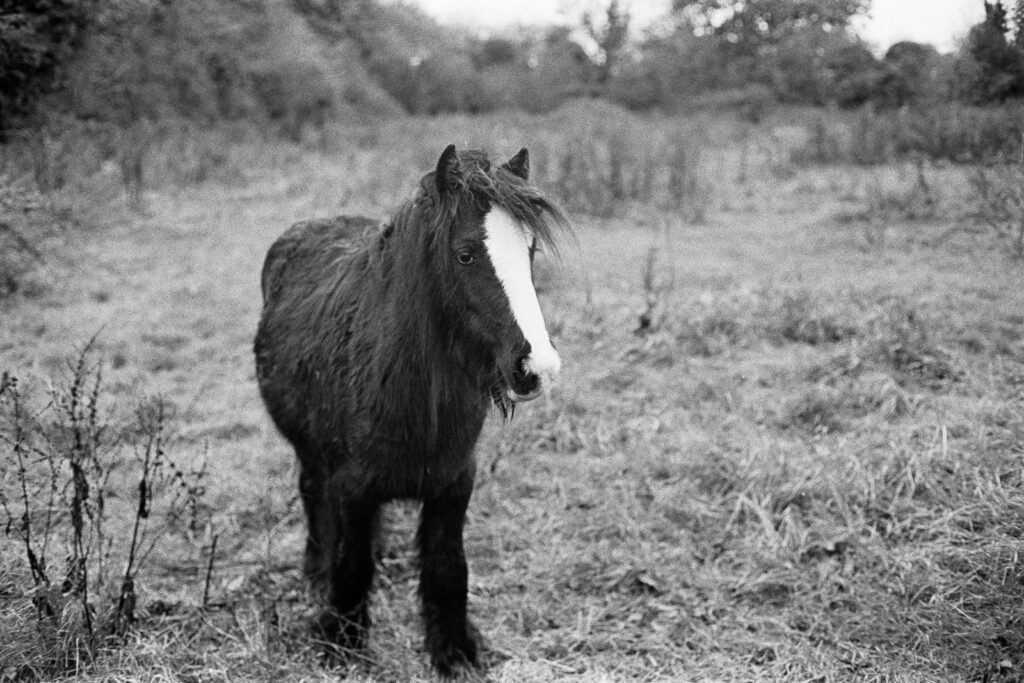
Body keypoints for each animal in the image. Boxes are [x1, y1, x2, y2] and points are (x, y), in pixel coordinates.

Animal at [250, 145, 565, 679]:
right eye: (465, 254)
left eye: (530, 252)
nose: (536, 368)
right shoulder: (351, 486)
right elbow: (352, 564)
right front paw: (341, 643)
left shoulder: (453, 483)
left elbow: (446, 566)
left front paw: (454, 652)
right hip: (312, 455)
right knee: (314, 496)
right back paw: (316, 572)